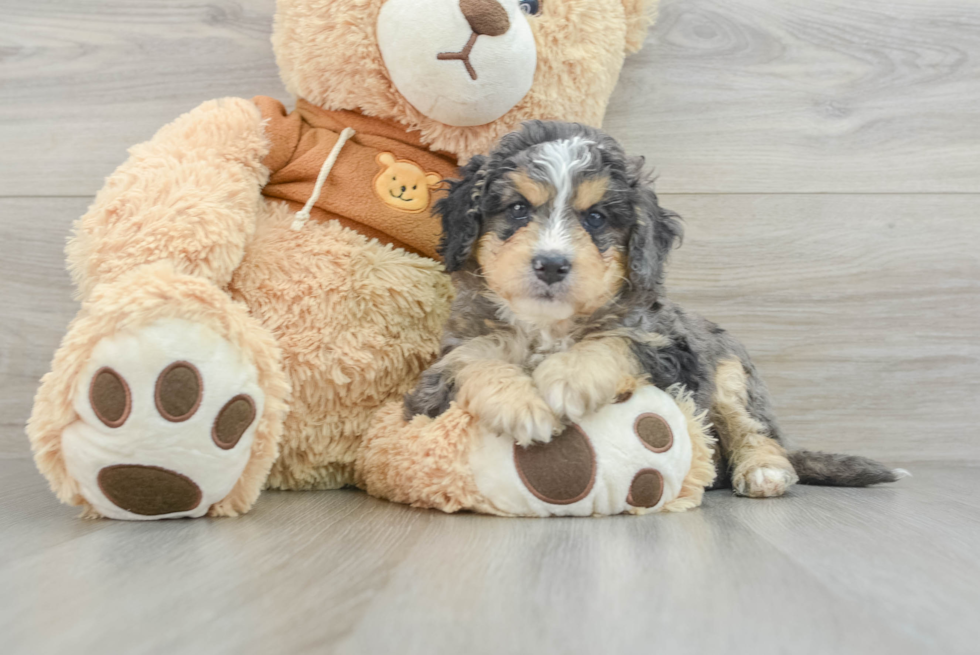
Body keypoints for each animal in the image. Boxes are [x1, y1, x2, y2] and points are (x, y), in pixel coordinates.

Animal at [406, 120, 904, 498]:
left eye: (596, 218)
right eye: (516, 209)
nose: (550, 264)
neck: (547, 327)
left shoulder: (672, 352)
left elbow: (617, 341)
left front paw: (568, 378)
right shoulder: (433, 380)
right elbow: (474, 361)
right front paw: (522, 406)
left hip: (730, 375)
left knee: (757, 431)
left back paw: (764, 471)